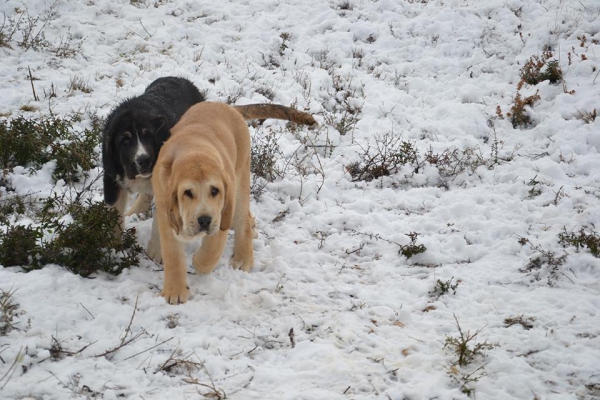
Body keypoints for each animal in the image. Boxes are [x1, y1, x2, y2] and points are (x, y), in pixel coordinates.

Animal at [102, 76, 205, 238]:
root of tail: (186, 81)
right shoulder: (111, 177)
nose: (144, 160)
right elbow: (114, 218)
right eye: (125, 140)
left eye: (149, 135)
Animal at [150, 102, 316, 304]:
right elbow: (172, 255)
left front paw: (199, 262)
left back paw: (243, 258)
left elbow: (211, 250)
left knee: (243, 220)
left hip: (240, 178)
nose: (204, 220)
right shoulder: (166, 214)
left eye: (214, 190)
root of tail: (227, 106)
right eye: (187, 193)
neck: (193, 148)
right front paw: (174, 291)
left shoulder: (223, 213)